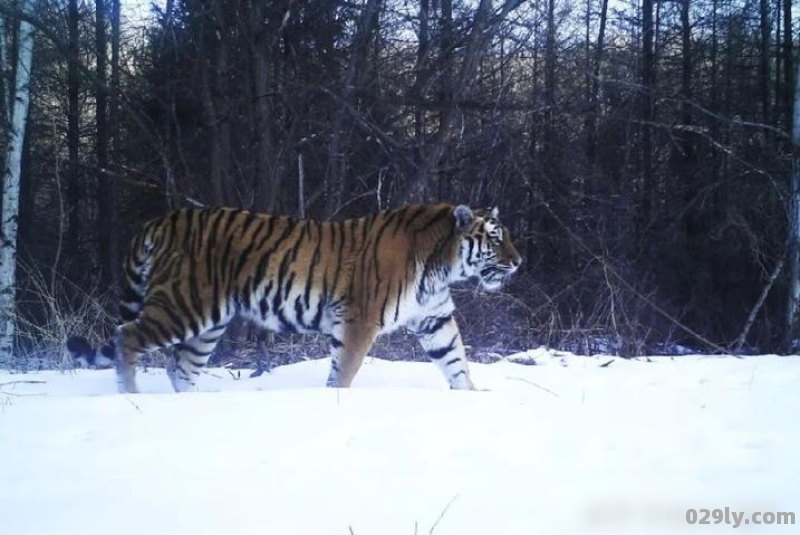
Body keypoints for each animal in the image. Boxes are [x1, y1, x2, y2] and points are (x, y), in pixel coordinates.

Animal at [67, 202, 520, 394]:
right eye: (496, 238)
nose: (518, 262)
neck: (442, 266)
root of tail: (163, 219)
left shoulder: (433, 318)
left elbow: (455, 360)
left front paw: (472, 397)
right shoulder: (360, 320)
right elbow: (344, 372)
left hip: (207, 322)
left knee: (180, 366)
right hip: (183, 305)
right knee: (128, 336)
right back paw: (131, 395)